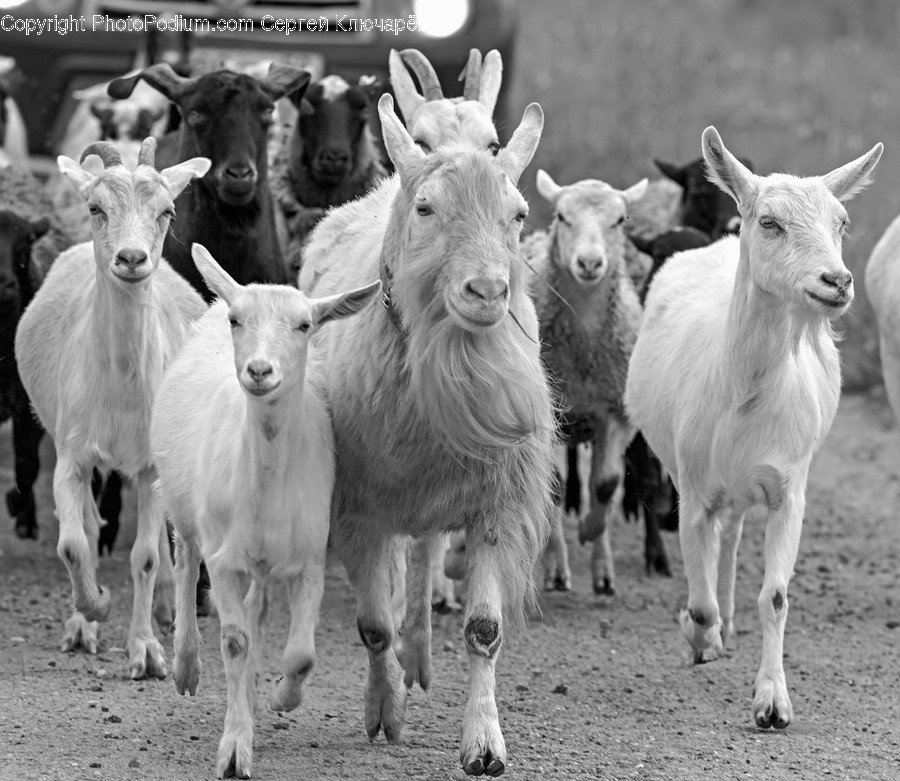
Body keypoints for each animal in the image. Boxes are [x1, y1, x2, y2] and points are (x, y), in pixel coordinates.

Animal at [14, 138, 211, 676]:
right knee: (85, 526)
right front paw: (94, 608)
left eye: (167, 212)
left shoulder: (148, 467)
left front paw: (146, 650)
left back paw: (165, 606)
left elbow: (144, 556)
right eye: (95, 208)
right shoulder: (71, 454)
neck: (121, 388)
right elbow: (72, 541)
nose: (131, 257)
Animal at [151, 244, 380, 780]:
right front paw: (235, 749)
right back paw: (186, 666)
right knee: (185, 561)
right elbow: (235, 642)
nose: (259, 371)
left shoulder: (311, 558)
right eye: (239, 320)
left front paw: (280, 698)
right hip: (184, 504)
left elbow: (302, 654)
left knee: (258, 608)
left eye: (304, 325)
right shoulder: (224, 558)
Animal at [299, 93, 552, 776]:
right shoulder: (357, 509)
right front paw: (384, 711)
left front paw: (484, 743)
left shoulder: (496, 502)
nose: (488, 290)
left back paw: (420, 653)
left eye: (519, 215)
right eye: (426, 209)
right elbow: (372, 627)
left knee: (423, 560)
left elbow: (485, 630)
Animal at [522, 169, 650, 595]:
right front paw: (557, 566)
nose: (590, 262)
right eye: (562, 216)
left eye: (620, 220)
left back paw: (603, 571)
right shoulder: (549, 419)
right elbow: (555, 486)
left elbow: (607, 485)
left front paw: (591, 531)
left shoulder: (616, 411)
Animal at [625, 127, 882, 729]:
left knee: (734, 537)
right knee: (719, 545)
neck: (745, 392)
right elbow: (697, 603)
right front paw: (699, 636)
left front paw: (772, 702)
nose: (838, 281)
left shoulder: (790, 487)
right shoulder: (693, 487)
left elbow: (776, 596)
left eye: (842, 222)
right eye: (770, 222)